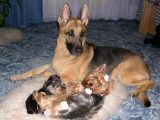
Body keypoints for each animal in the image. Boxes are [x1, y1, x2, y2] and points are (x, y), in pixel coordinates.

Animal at [10, 3, 155, 107]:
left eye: (82, 34)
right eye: (70, 33)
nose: (79, 51)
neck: (65, 55)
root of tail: (146, 65)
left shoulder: (70, 76)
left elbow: (44, 73)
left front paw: (38, 76)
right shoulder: (49, 65)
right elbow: (33, 70)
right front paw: (18, 76)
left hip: (124, 74)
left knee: (151, 82)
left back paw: (137, 90)